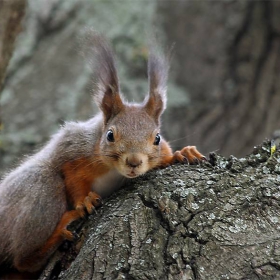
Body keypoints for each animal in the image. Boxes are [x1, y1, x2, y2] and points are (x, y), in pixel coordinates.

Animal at [0, 33, 206, 276]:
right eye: (110, 135)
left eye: (157, 138)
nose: (134, 162)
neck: (114, 170)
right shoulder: (73, 148)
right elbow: (72, 177)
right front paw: (85, 200)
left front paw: (183, 153)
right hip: (38, 191)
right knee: (24, 259)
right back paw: (56, 236)